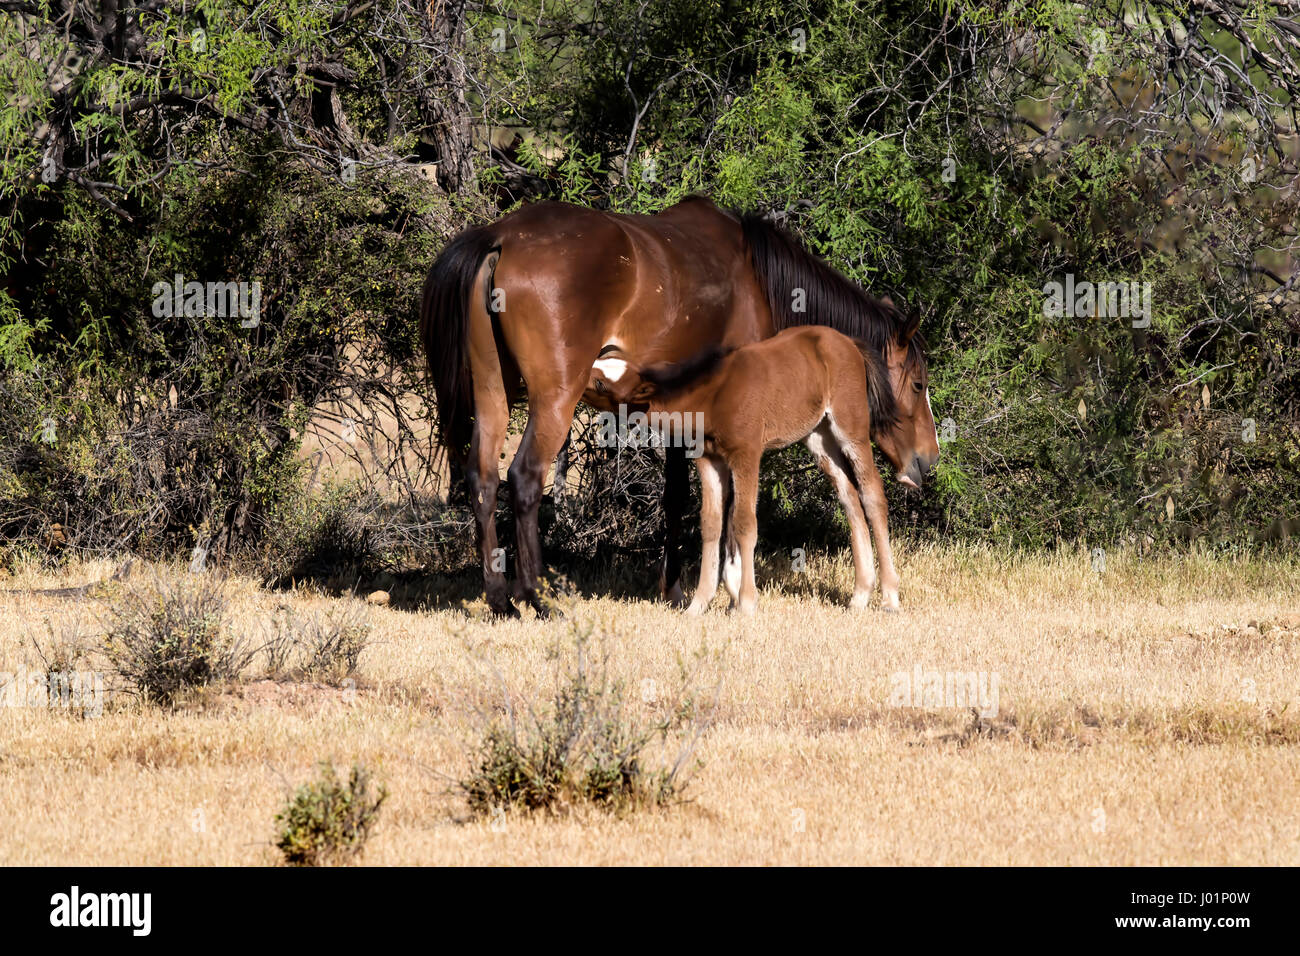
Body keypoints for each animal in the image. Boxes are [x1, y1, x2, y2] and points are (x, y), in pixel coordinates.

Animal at [585, 325, 930, 616]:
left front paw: (747, 603)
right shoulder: (709, 461)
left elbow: (744, 523)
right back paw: (859, 596)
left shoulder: (747, 455)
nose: (577, 376)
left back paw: (889, 597)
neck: (714, 395)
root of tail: (849, 343)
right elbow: (711, 524)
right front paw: (698, 604)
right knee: (850, 500)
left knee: (872, 494)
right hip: (819, 438)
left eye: (601, 382)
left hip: (850, 429)